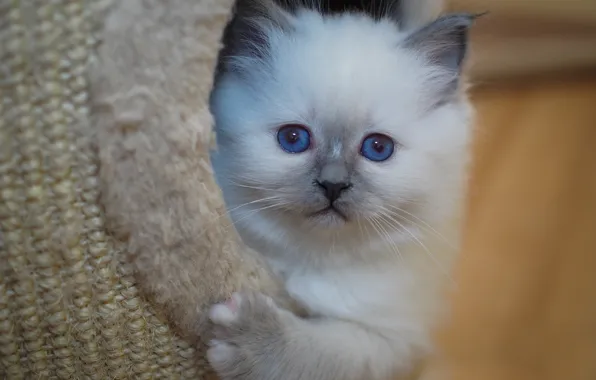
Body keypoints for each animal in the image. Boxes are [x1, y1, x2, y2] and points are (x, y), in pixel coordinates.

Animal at [210, 1, 474, 378]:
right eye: (293, 139)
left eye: (378, 148)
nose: (333, 185)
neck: (316, 258)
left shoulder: (389, 341)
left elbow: (317, 353)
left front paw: (247, 336)